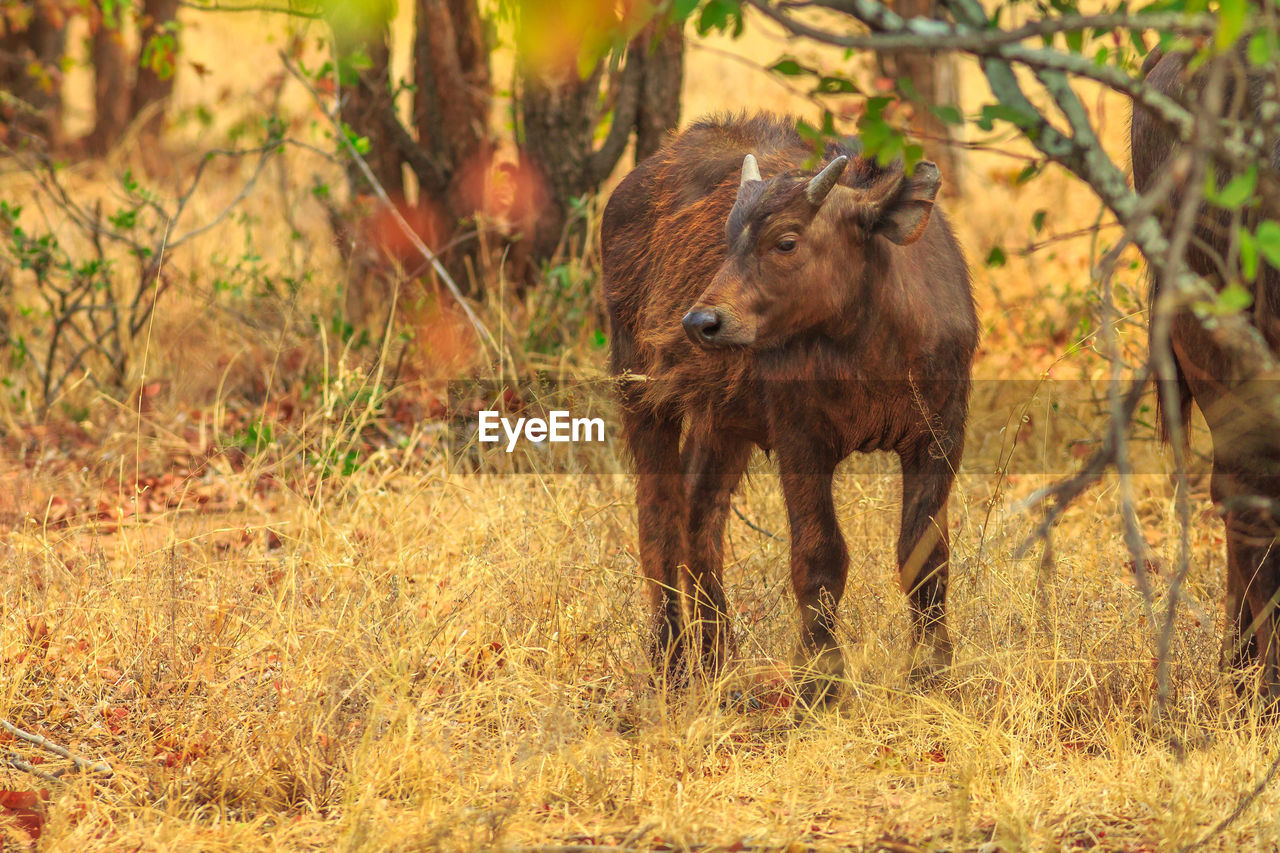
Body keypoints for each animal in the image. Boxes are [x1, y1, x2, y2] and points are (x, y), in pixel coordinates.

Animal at [604, 111, 972, 696]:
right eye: (729, 240)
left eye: (786, 242)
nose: (700, 322)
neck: (871, 342)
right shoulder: (801, 439)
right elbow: (819, 556)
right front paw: (820, 679)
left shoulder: (940, 436)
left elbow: (925, 556)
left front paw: (931, 670)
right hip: (640, 394)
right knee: (659, 521)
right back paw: (672, 662)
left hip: (722, 420)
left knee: (699, 518)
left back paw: (719, 657)